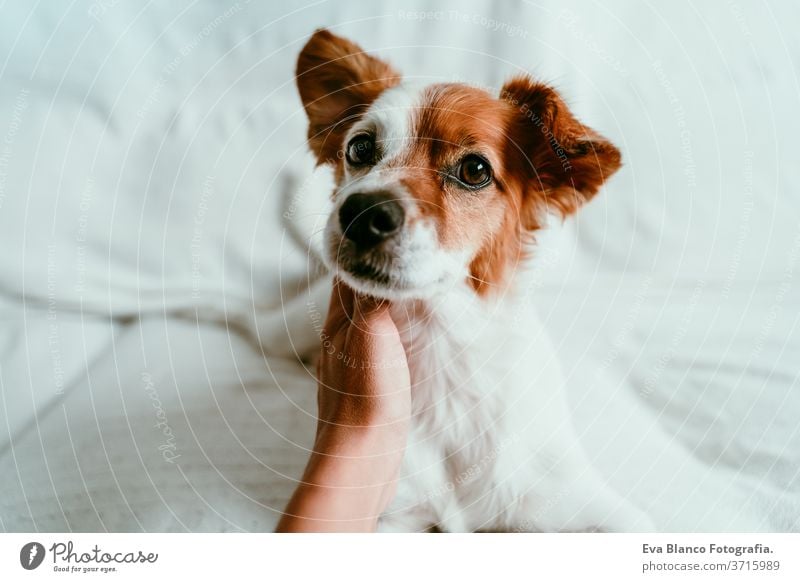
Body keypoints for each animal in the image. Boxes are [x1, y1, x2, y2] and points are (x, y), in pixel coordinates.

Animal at [266, 29, 652, 532]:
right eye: (359, 149)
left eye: (475, 170)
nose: (361, 213)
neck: (440, 344)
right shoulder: (392, 514)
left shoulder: (579, 504)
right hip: (280, 331)